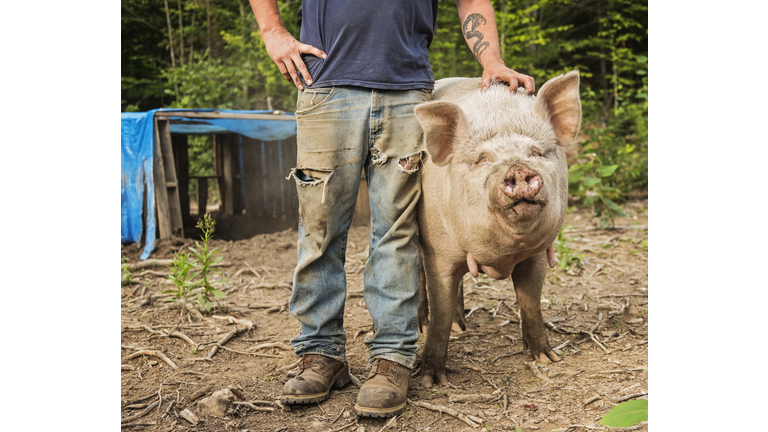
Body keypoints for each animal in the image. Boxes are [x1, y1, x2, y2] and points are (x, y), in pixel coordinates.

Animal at [414, 71, 584, 388]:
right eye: (483, 158)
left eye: (536, 152)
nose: (517, 168)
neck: (504, 256)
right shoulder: (438, 251)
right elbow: (440, 308)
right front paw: (431, 380)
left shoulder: (536, 254)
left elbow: (531, 302)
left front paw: (547, 359)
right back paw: (423, 326)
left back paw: (461, 326)